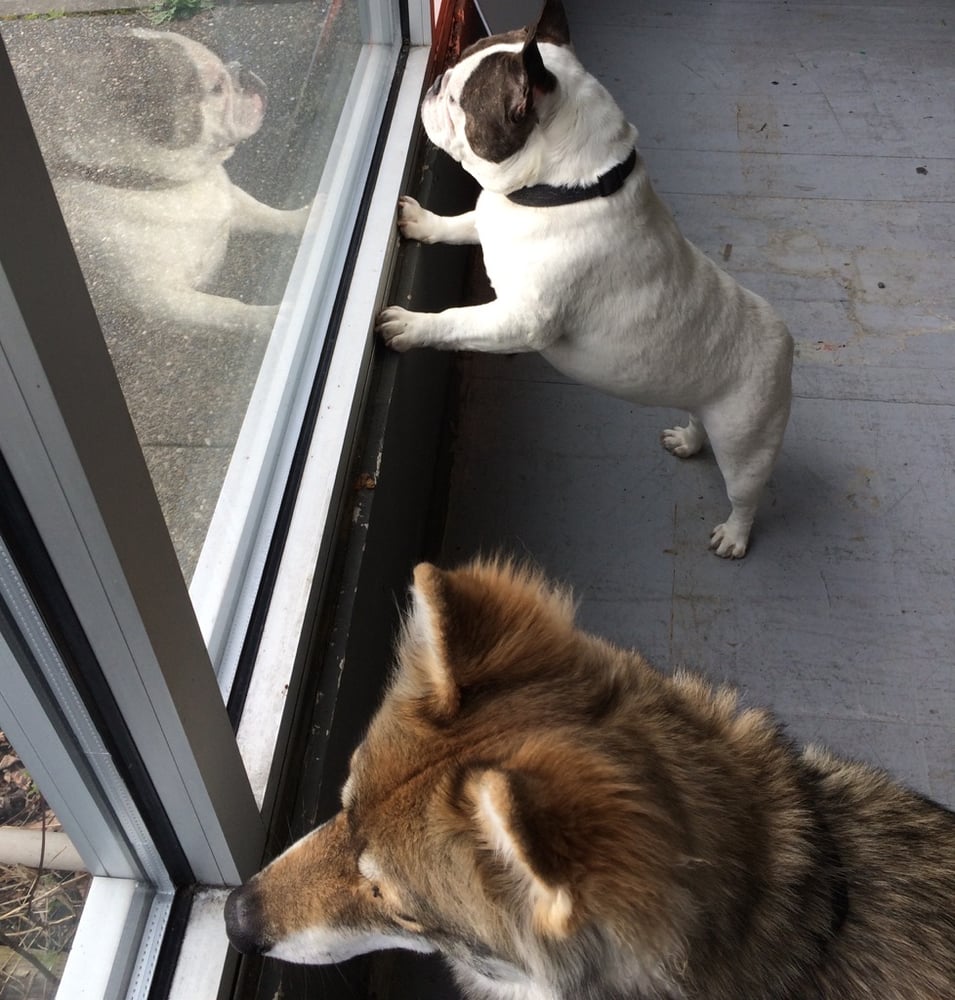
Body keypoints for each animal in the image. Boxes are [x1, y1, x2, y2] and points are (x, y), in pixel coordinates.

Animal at [28, 29, 309, 335]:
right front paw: (272, 318)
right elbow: (225, 309)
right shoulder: (166, 301)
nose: (243, 72)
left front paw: (308, 216)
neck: (169, 185)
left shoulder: (232, 203)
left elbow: (269, 215)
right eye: (216, 88)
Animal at [376, 0, 794, 558]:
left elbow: (457, 321)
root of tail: (785, 340)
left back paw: (734, 534)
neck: (562, 190)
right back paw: (687, 440)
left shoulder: (518, 321)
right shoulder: (489, 222)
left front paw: (411, 325)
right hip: (702, 401)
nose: (436, 80)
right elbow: (462, 224)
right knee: (696, 419)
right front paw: (425, 222)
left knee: (746, 493)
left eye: (460, 98)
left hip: (746, 441)